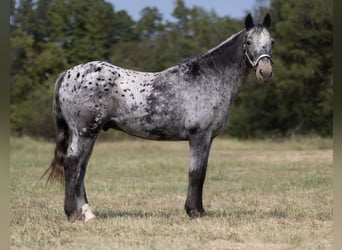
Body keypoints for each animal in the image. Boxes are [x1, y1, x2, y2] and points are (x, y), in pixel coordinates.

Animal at [42, 13, 274, 222]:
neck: (211, 77)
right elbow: (196, 174)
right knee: (72, 166)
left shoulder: (208, 139)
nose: (265, 72)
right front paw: (194, 212)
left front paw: (199, 210)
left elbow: (202, 173)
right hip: (84, 133)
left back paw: (89, 214)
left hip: (89, 134)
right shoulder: (200, 136)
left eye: (271, 42)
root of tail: (66, 74)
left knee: (81, 169)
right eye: (248, 41)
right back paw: (72, 214)